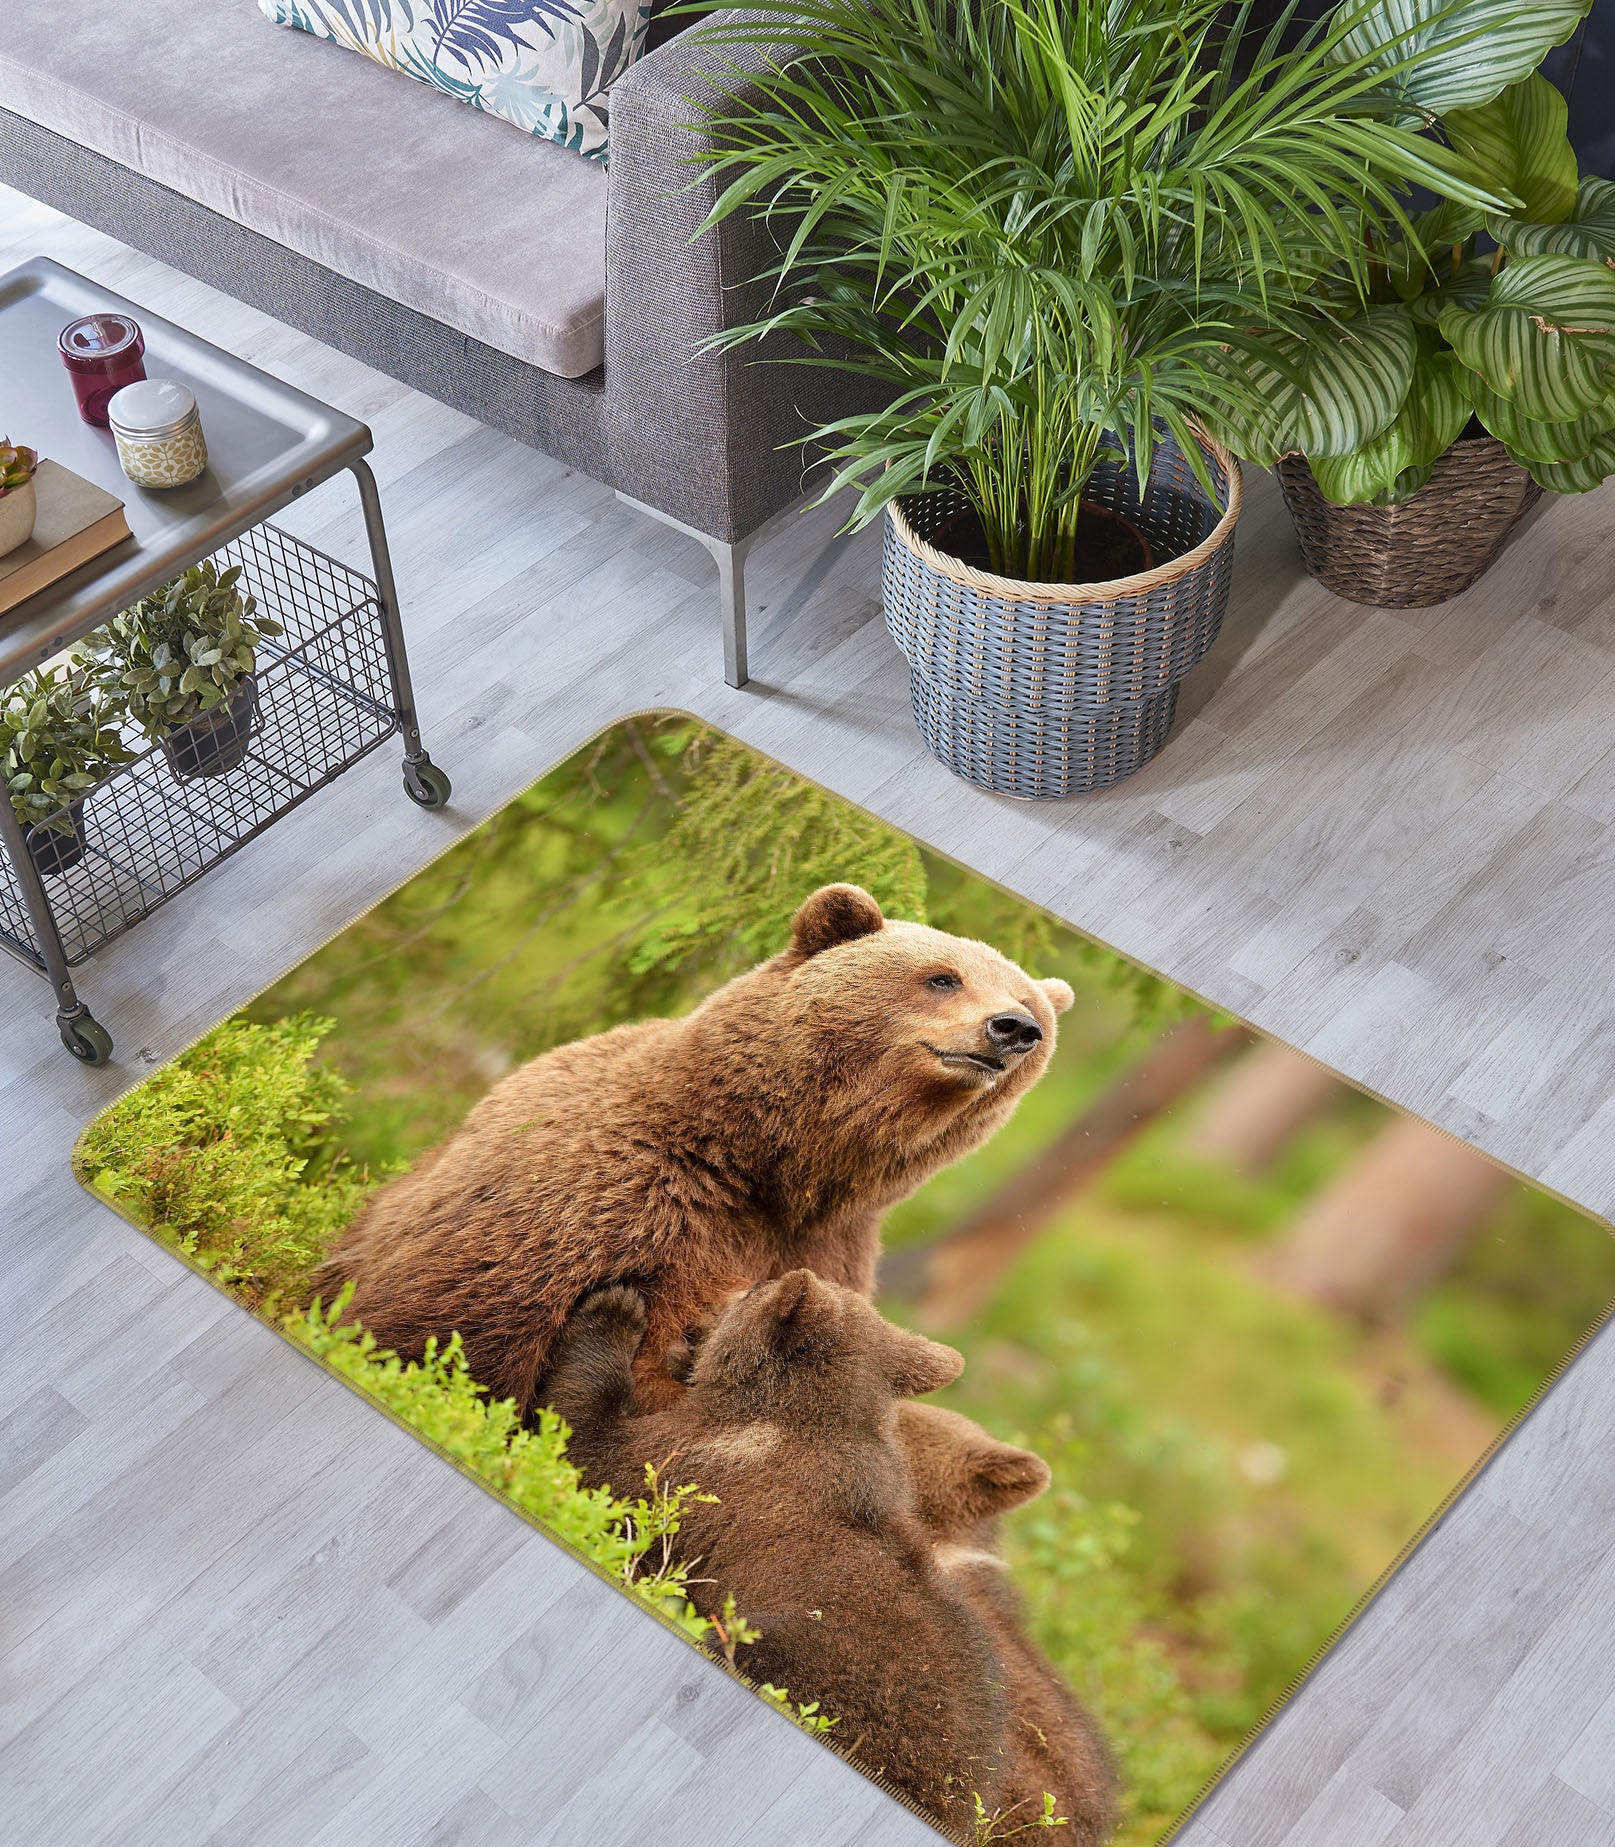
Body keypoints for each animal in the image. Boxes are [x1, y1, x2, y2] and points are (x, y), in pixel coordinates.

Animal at [313, 882, 1074, 1414]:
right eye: (942, 975)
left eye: (1030, 1005)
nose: (1013, 1028)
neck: (769, 1166)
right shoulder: (611, 1190)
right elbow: (454, 1322)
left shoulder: (824, 1247)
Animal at [544, 1270, 1010, 1841]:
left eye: (749, 1292)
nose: (696, 1318)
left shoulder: (705, 1471)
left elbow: (596, 1454)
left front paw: (614, 1310)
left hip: (813, 1660)